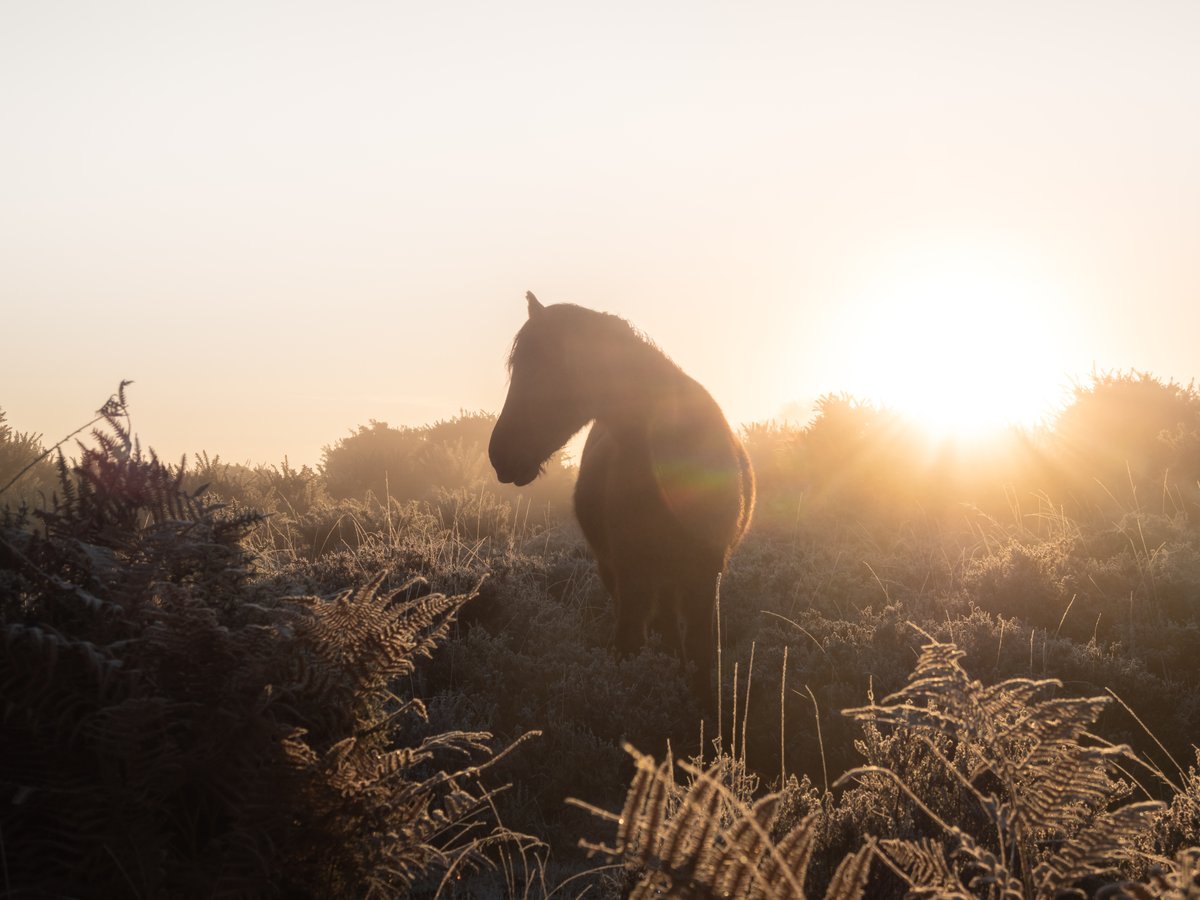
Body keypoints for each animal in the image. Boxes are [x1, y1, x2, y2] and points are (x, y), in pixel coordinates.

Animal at [484, 292, 748, 700]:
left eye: (550, 366)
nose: (500, 455)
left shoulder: (705, 575)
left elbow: (702, 661)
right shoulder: (630, 574)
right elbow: (629, 650)